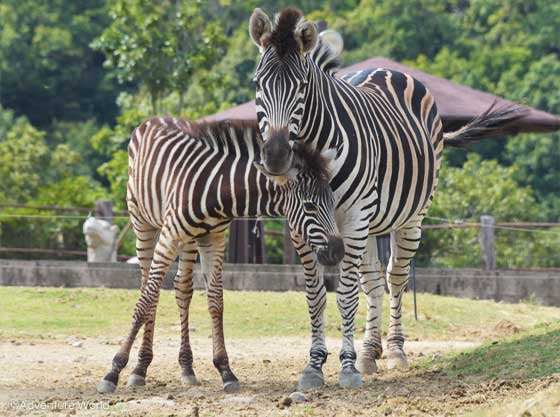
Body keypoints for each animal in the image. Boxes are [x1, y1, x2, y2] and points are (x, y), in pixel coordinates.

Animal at [97, 117, 344, 394]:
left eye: (332, 202)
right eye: (309, 206)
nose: (338, 251)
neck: (217, 188)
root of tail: (154, 120)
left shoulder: (213, 238)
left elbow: (216, 301)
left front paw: (226, 370)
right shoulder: (169, 234)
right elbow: (145, 301)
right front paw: (114, 370)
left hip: (189, 240)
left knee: (182, 289)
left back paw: (186, 368)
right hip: (143, 223)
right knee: (147, 287)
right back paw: (140, 368)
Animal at [252, 6, 524, 388]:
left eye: (302, 87)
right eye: (257, 84)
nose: (276, 157)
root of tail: (389, 70)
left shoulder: (353, 216)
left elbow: (346, 293)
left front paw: (347, 366)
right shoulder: (301, 223)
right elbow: (316, 295)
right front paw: (315, 364)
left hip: (409, 217)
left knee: (395, 276)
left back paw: (394, 350)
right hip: (370, 222)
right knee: (373, 279)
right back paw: (370, 351)